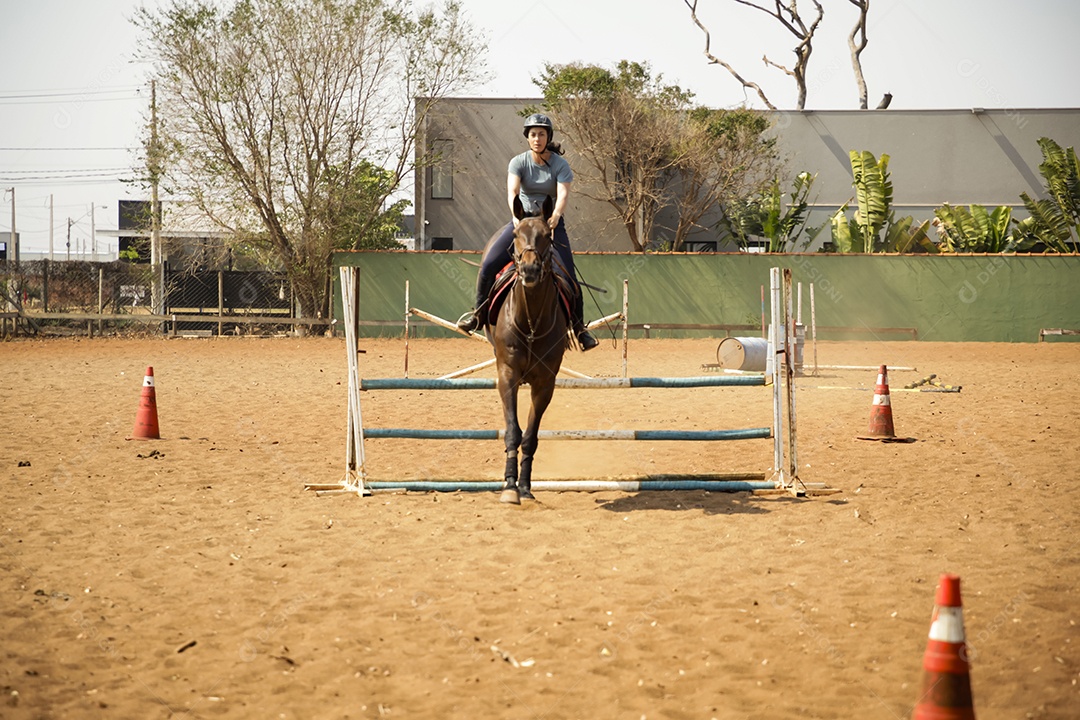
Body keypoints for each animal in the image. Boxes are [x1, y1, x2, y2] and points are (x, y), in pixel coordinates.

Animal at [490, 195, 570, 504]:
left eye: (547, 235)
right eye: (515, 234)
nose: (530, 270)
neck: (531, 323)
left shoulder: (545, 383)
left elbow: (531, 437)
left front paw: (524, 485)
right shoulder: (507, 375)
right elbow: (513, 431)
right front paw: (510, 486)